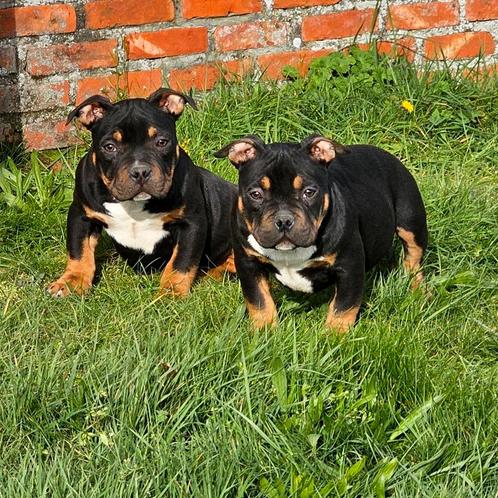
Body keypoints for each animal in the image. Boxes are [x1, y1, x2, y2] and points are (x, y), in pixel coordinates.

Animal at [48, 88, 237, 298]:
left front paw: (170, 292)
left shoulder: (191, 222)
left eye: (161, 142)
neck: (133, 204)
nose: (140, 171)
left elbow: (181, 261)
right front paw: (71, 282)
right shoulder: (81, 215)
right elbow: (79, 251)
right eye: (109, 147)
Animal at [214, 134, 428, 332]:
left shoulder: (349, 266)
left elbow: (343, 306)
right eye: (256, 194)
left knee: (413, 258)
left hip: (411, 219)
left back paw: (418, 290)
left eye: (309, 192)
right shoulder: (248, 263)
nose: (284, 220)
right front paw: (265, 330)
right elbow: (259, 301)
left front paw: (335, 336)